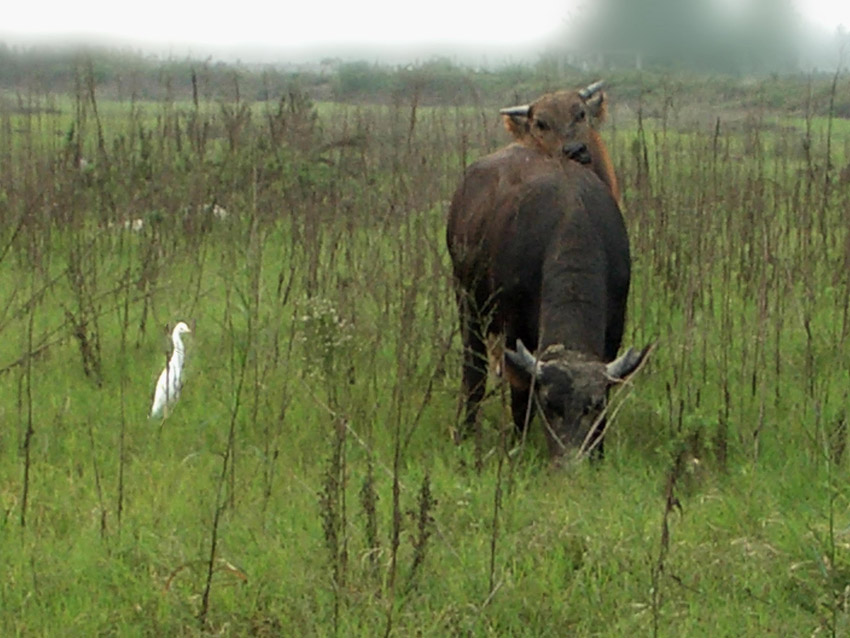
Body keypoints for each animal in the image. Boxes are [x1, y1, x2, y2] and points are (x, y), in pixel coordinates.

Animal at [448, 82, 644, 462]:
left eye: (592, 406)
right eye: (549, 405)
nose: (570, 460)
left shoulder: (615, 323)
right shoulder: (513, 327)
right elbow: (519, 391)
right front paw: (518, 446)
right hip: (468, 301)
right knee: (473, 368)